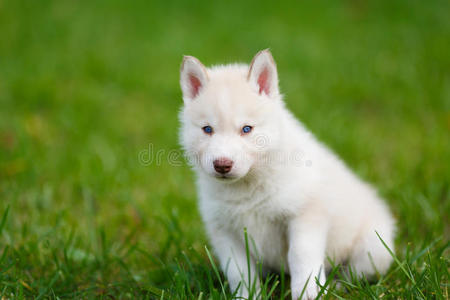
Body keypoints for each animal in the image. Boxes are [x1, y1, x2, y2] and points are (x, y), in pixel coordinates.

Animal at [178, 50, 396, 298]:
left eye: (246, 129)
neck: (248, 188)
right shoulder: (225, 232)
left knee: (356, 274)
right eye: (207, 129)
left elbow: (301, 258)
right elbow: (239, 271)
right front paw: (248, 295)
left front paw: (308, 292)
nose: (222, 165)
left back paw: (337, 286)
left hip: (374, 248)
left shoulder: (304, 215)